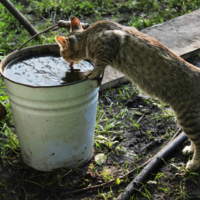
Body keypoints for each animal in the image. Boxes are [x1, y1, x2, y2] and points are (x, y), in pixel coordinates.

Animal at [55, 16, 200, 172]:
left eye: (62, 53)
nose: (66, 62)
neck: (89, 37)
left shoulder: (106, 48)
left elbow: (98, 66)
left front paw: (92, 73)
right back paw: (190, 149)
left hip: (188, 118)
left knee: (199, 142)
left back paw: (194, 164)